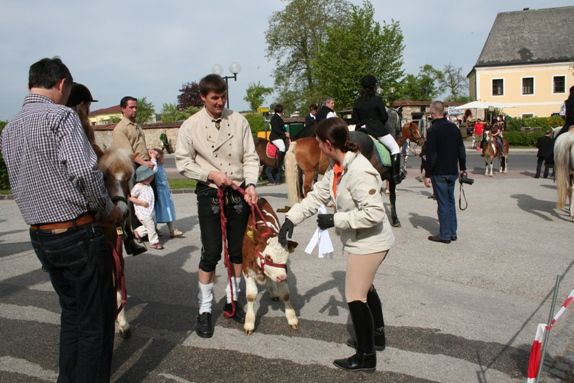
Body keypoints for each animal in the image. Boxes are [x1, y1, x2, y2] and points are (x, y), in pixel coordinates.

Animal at [241, 198, 300, 336]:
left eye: (286, 258)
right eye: (268, 257)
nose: (281, 277)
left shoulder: (282, 272)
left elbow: (285, 294)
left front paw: (292, 318)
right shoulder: (246, 269)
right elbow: (251, 296)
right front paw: (249, 323)